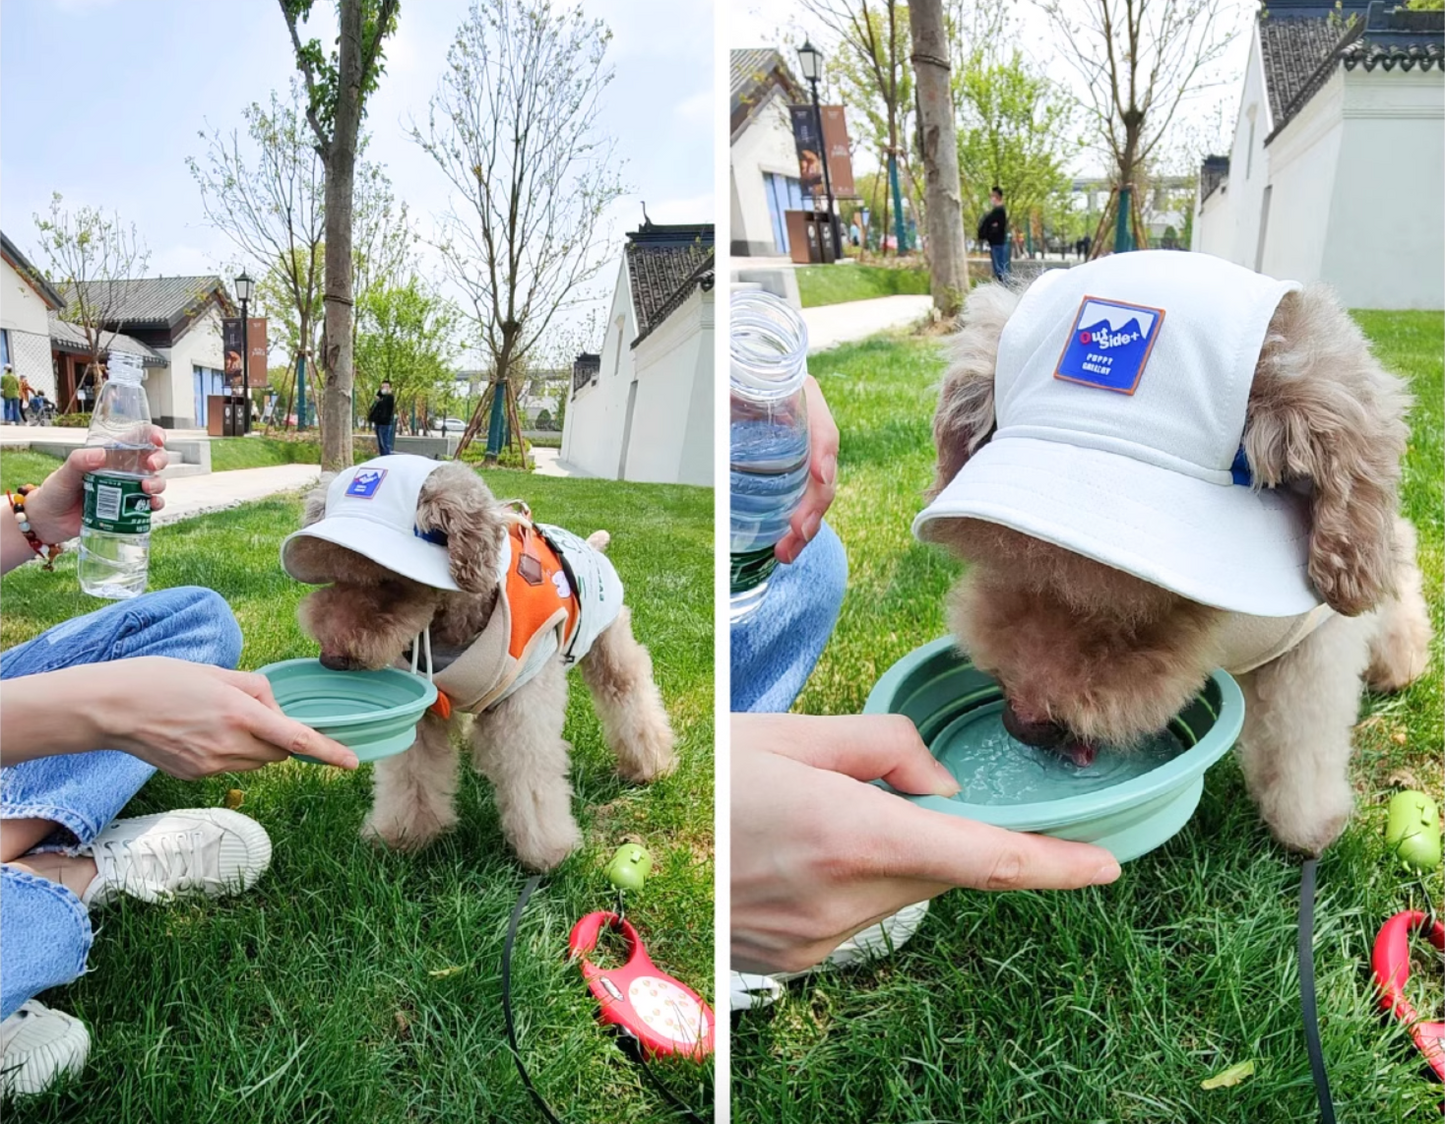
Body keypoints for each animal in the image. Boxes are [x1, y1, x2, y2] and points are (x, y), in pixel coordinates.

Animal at [289, 456, 682, 866]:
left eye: (387, 581)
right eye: (333, 576)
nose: (330, 659)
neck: (452, 626)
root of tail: (593, 545)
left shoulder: (526, 705)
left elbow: (532, 776)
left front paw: (548, 851)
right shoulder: (425, 712)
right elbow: (411, 775)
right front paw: (402, 836)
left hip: (611, 647)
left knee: (631, 696)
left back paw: (650, 766)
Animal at [919, 275, 1427, 855]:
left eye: (1138, 599)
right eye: (998, 558)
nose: (1020, 725)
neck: (1224, 625)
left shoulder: (1316, 641)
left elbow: (1303, 739)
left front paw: (1309, 829)